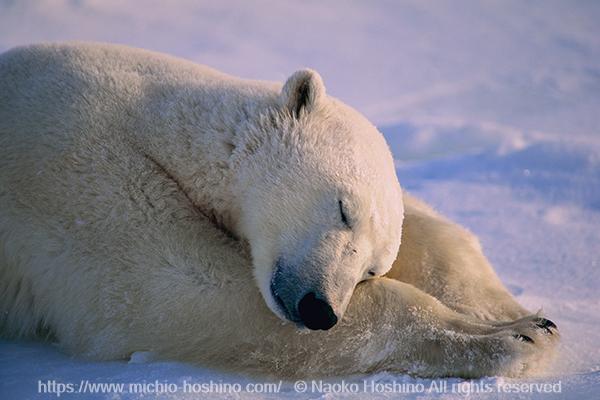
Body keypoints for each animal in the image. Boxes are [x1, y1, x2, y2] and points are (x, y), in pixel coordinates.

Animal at [0, 43, 556, 378]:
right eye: (343, 209)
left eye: (372, 267)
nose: (320, 309)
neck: (156, 119)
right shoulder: (75, 171)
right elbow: (173, 288)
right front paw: (511, 338)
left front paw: (523, 315)